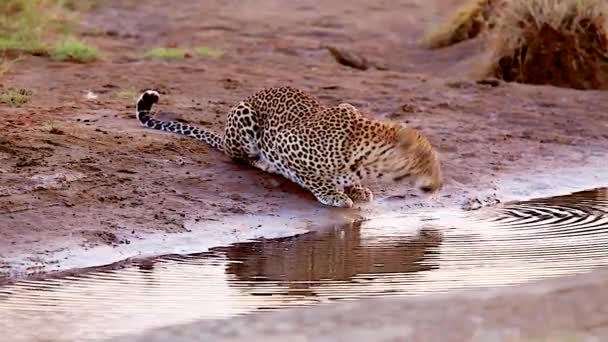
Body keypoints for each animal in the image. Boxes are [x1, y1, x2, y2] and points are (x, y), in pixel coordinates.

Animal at [137, 87, 442, 207]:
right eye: (428, 163)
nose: (440, 187)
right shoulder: (285, 144)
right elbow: (314, 177)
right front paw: (334, 194)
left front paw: (356, 188)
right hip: (244, 121)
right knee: (239, 157)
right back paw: (262, 163)